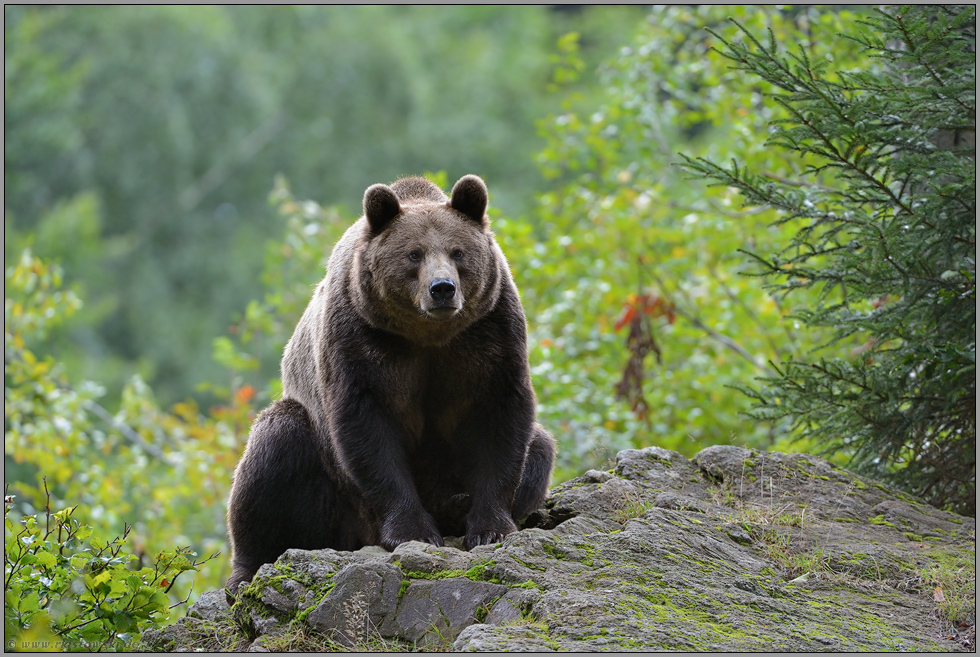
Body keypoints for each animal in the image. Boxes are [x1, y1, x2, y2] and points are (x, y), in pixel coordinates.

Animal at [225, 174, 556, 596]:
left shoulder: (488, 336)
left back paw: (455, 504)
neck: (427, 335)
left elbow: (502, 421)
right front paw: (413, 530)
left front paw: (490, 527)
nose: (442, 288)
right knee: (273, 453)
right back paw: (247, 571)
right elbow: (368, 430)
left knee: (540, 446)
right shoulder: (362, 341)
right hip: (330, 490)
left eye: (458, 252)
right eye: (414, 254)